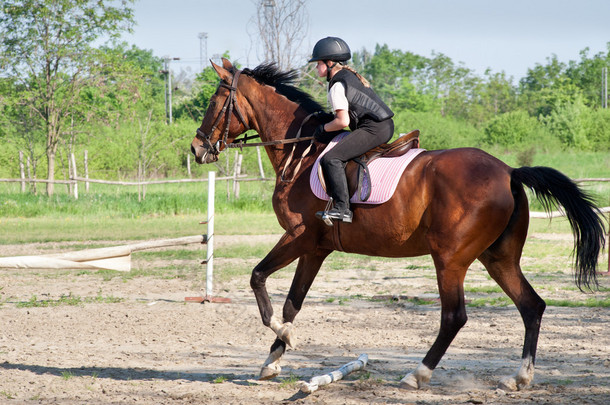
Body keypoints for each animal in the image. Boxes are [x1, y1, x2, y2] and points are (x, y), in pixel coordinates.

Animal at [189, 58, 604, 390]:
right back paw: (519, 378)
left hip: (450, 259)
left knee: (454, 316)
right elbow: (293, 303)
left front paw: (283, 338)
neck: (301, 152)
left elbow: (258, 277)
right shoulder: (316, 248)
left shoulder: (299, 237)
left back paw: (417, 375)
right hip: (498, 258)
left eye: (213, 103)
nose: (197, 149)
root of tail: (509, 172)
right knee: (531, 305)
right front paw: (273, 359)